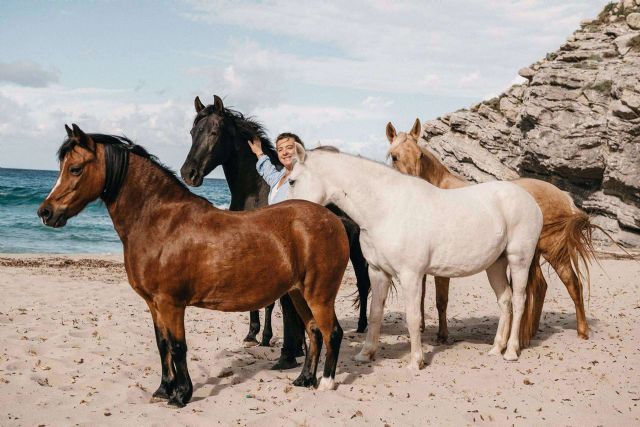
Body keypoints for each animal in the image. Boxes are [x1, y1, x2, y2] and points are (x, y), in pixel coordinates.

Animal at [38, 124, 350, 408]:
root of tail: (333, 220)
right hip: (298, 293)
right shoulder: (153, 304)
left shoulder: (171, 303)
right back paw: (304, 379)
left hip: (319, 295)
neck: (160, 221)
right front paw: (163, 389)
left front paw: (181, 395)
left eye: (75, 168)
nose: (46, 212)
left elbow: (178, 346)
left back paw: (325, 382)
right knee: (313, 331)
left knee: (331, 332)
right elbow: (162, 344)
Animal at [288, 145, 544, 370]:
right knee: (505, 300)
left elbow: (412, 318)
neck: (387, 209)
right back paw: (496, 348)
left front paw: (416, 361)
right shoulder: (378, 272)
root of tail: (531, 201)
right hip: (496, 264)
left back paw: (511, 351)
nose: (290, 209)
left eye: (291, 180)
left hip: (518, 260)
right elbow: (375, 313)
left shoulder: (410, 275)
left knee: (519, 301)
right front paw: (366, 353)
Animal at [384, 118, 600, 346]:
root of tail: (564, 196)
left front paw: (442, 335)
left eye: (420, 155)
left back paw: (581, 332)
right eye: (395, 156)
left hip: (554, 251)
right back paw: (530, 333)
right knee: (540, 287)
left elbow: (441, 299)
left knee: (573, 284)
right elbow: (422, 296)